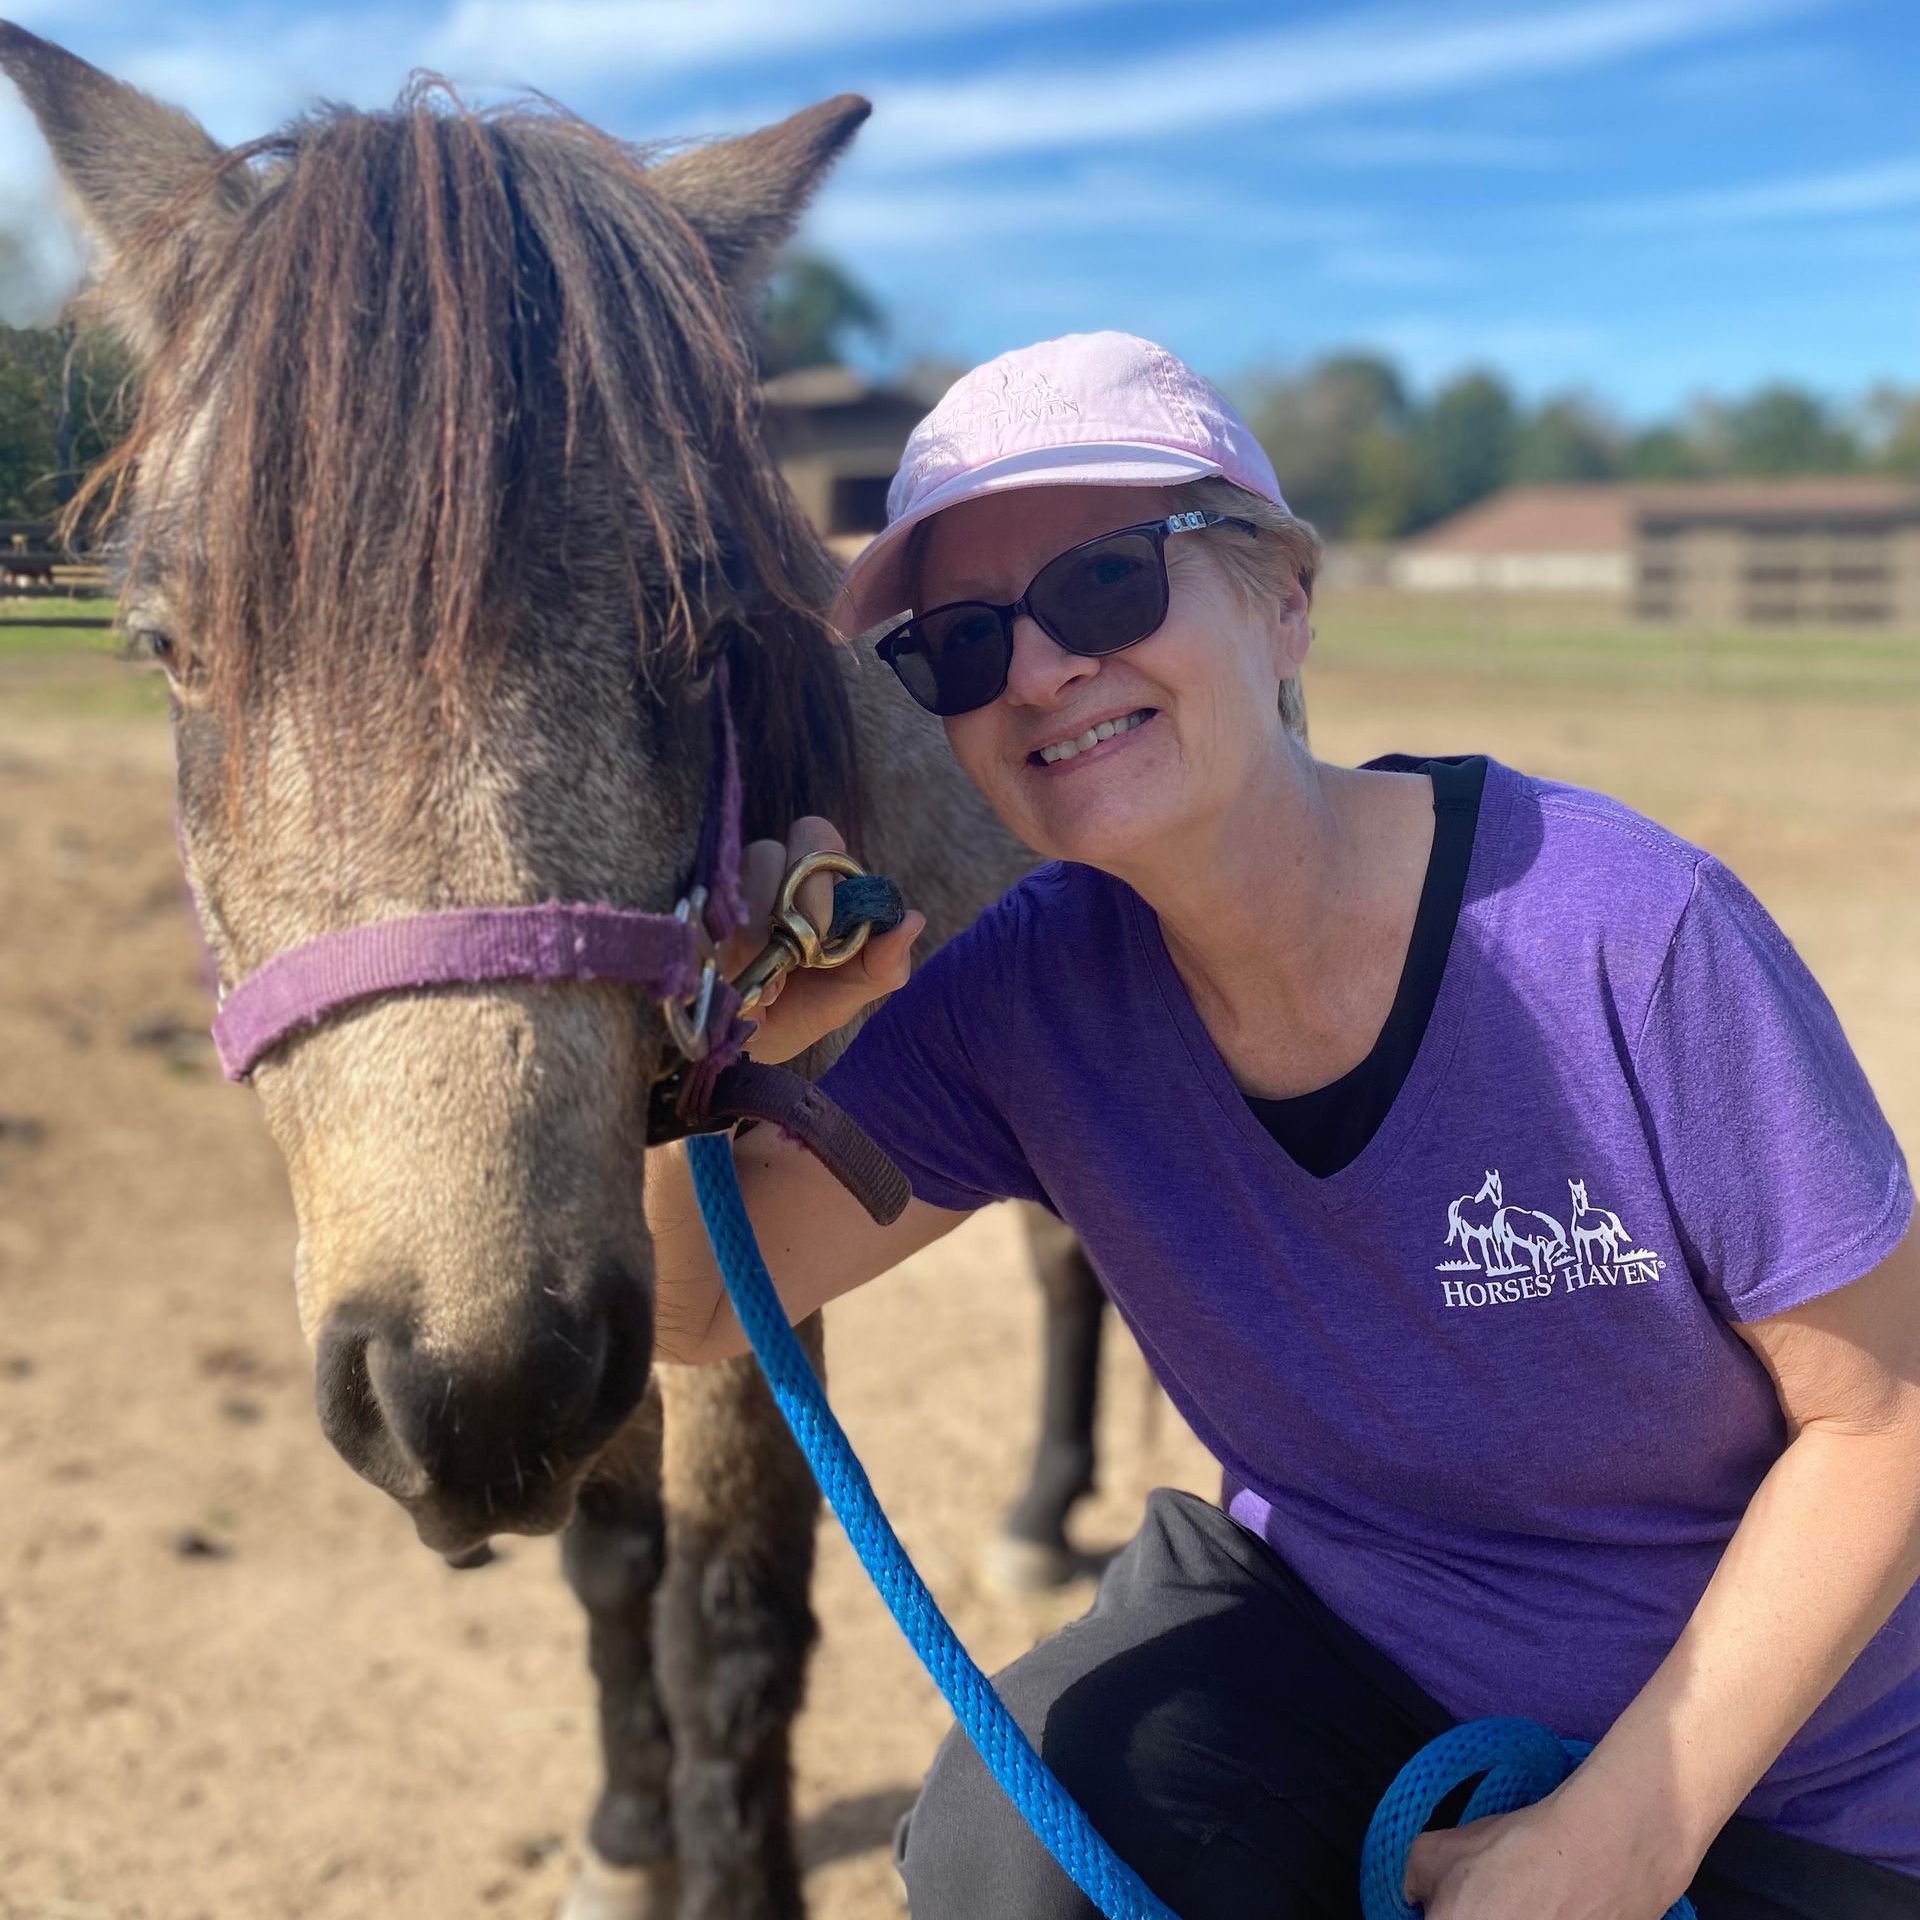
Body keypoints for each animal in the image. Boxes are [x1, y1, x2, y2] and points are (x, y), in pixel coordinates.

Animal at [1, 27, 1108, 1915]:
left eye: (702, 628)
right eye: (166, 645)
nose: (468, 1395)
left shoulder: (739, 1273)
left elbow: (728, 1620)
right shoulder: (614, 1284)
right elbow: (611, 1572)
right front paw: (621, 1842)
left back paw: (1045, 1517)